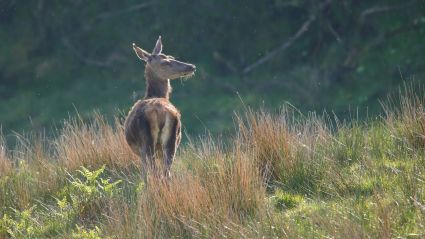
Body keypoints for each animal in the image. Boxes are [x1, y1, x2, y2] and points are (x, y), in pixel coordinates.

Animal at [123, 36, 195, 180]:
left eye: (171, 57)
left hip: (147, 143)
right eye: (166, 62)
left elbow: (144, 175)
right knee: (166, 173)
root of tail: (161, 113)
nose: (191, 66)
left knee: (155, 173)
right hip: (172, 141)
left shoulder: (140, 152)